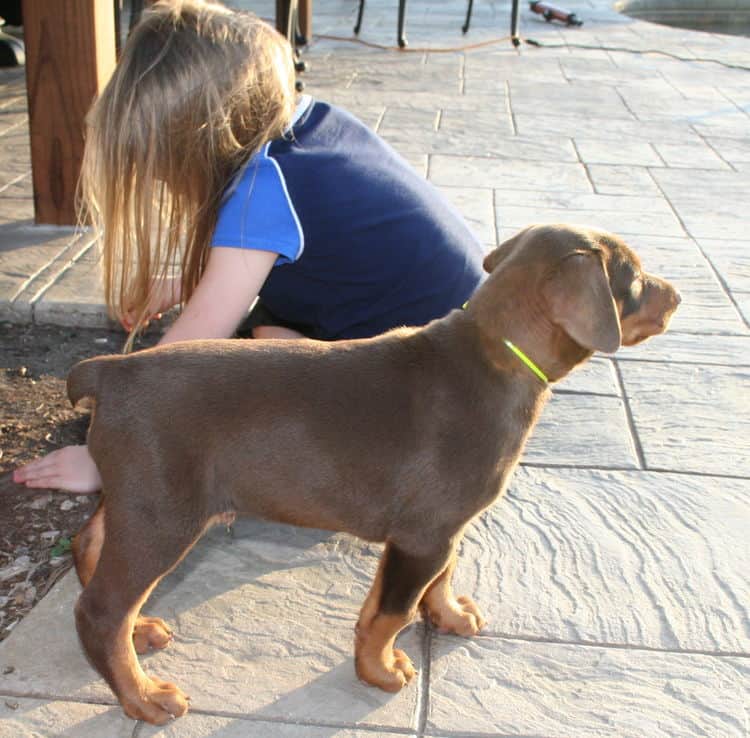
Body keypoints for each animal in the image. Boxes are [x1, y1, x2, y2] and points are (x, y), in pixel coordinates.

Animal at [69, 223, 680, 720]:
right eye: (635, 278)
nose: (678, 295)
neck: (498, 352)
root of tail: (110, 371)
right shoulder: (422, 534)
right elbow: (392, 611)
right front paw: (383, 671)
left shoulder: (443, 528)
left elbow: (440, 578)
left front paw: (449, 615)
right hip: (163, 514)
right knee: (100, 610)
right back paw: (144, 697)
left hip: (133, 497)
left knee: (89, 547)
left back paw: (141, 630)